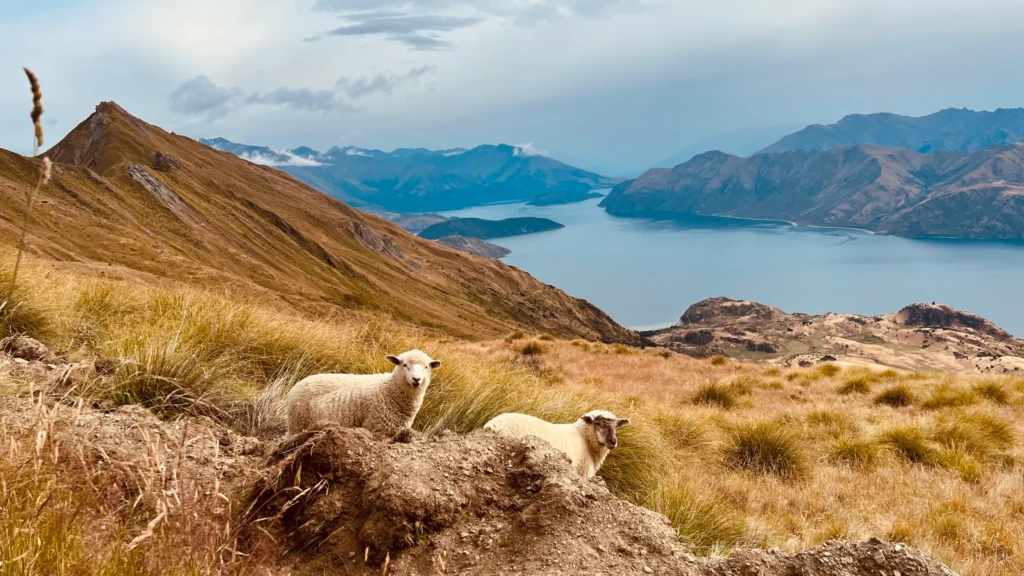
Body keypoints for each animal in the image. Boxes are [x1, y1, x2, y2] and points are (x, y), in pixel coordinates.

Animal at [284, 349, 442, 438]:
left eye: (426, 367)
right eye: (404, 365)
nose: (417, 379)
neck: (389, 389)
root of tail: (298, 384)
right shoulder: (377, 429)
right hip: (297, 424)